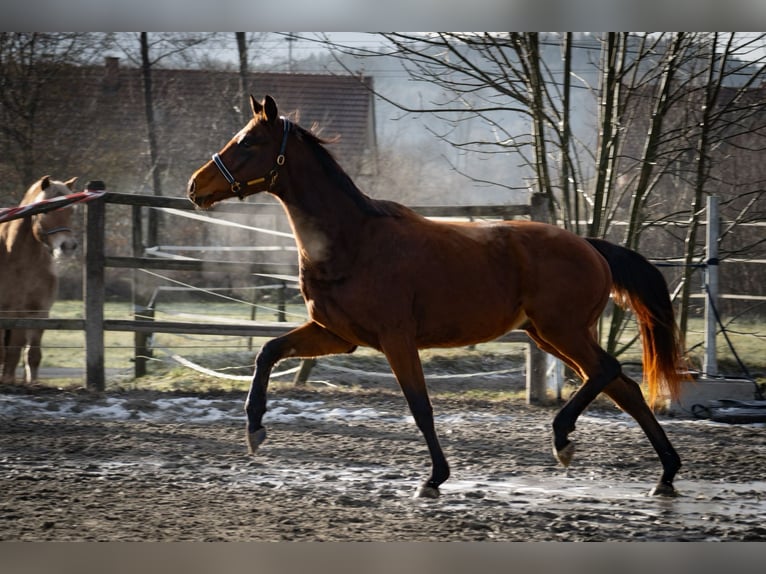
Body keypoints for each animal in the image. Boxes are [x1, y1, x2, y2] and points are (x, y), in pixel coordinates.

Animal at [0, 176, 79, 382]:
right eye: (45, 210)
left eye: (72, 210)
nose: (68, 246)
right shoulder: (12, 313)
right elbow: (10, 354)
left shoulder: (39, 312)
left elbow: (32, 355)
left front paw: (32, 384)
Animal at [188, 94, 688, 500]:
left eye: (248, 143)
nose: (195, 186)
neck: (353, 241)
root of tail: (590, 245)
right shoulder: (336, 335)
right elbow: (268, 352)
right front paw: (255, 430)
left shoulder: (395, 339)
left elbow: (421, 407)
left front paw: (434, 479)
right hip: (550, 335)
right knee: (624, 388)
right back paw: (665, 475)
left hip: (561, 330)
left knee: (608, 371)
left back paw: (564, 440)